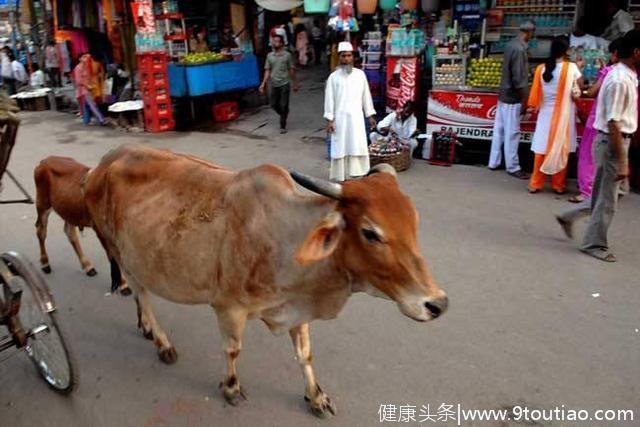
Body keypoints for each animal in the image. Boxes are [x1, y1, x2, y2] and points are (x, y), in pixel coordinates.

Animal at [34, 158, 132, 298]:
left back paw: (87, 266)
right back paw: (45, 263)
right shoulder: (100, 231)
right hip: (42, 204)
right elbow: (114, 258)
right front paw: (124, 284)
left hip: (68, 209)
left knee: (70, 233)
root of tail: (44, 161)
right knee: (41, 232)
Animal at [82, 145, 448, 418]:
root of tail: (103, 162)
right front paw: (231, 388)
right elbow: (233, 350)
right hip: (120, 251)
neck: (285, 238)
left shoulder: (297, 309)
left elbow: (305, 355)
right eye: (370, 232)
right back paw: (162, 343)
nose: (437, 303)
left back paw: (145, 328)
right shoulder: (228, 307)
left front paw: (316, 396)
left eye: (413, 222)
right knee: (141, 293)